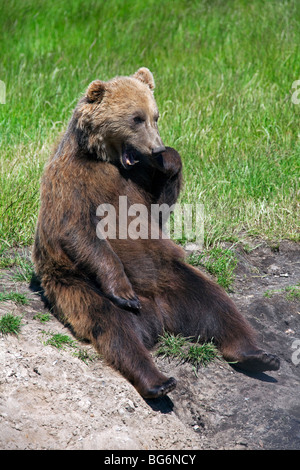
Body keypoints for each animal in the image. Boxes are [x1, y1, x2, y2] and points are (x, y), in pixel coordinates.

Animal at [34, 65, 280, 396]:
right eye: (135, 118)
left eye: (156, 115)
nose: (156, 147)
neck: (107, 161)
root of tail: (158, 319)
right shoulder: (72, 182)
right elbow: (78, 231)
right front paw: (123, 290)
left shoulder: (138, 183)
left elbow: (159, 209)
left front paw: (171, 159)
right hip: (78, 287)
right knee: (115, 328)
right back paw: (158, 380)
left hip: (174, 279)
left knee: (217, 305)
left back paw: (258, 354)